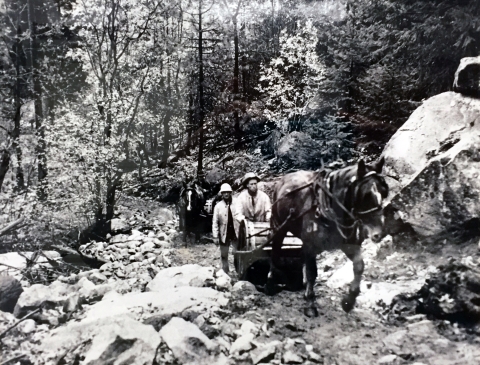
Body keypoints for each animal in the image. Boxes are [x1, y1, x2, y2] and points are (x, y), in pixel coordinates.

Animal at [268, 157, 388, 316]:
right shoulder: (310, 245)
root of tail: (282, 180)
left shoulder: (347, 244)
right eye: (365, 195)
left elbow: (359, 266)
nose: (379, 233)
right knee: (275, 251)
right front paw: (310, 303)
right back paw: (271, 282)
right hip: (278, 228)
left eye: (384, 192)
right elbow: (312, 272)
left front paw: (349, 300)